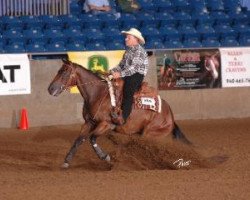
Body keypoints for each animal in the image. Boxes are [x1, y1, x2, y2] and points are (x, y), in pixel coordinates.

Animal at [47, 58, 190, 168]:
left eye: (64, 73)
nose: (50, 89)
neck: (97, 94)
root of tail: (170, 114)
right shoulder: (89, 123)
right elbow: (78, 140)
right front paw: (66, 161)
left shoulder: (106, 124)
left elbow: (92, 138)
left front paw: (105, 157)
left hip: (150, 134)